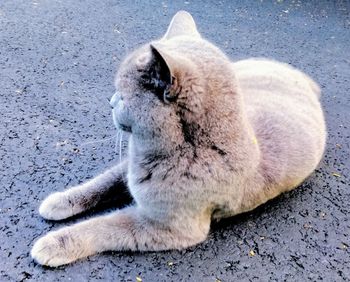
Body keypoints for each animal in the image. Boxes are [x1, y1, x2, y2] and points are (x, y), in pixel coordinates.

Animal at [30, 10, 326, 266]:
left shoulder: (167, 228)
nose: (110, 102)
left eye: (122, 96)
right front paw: (59, 202)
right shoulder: (127, 168)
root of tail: (304, 78)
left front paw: (54, 244)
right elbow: (100, 183)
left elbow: (105, 226)